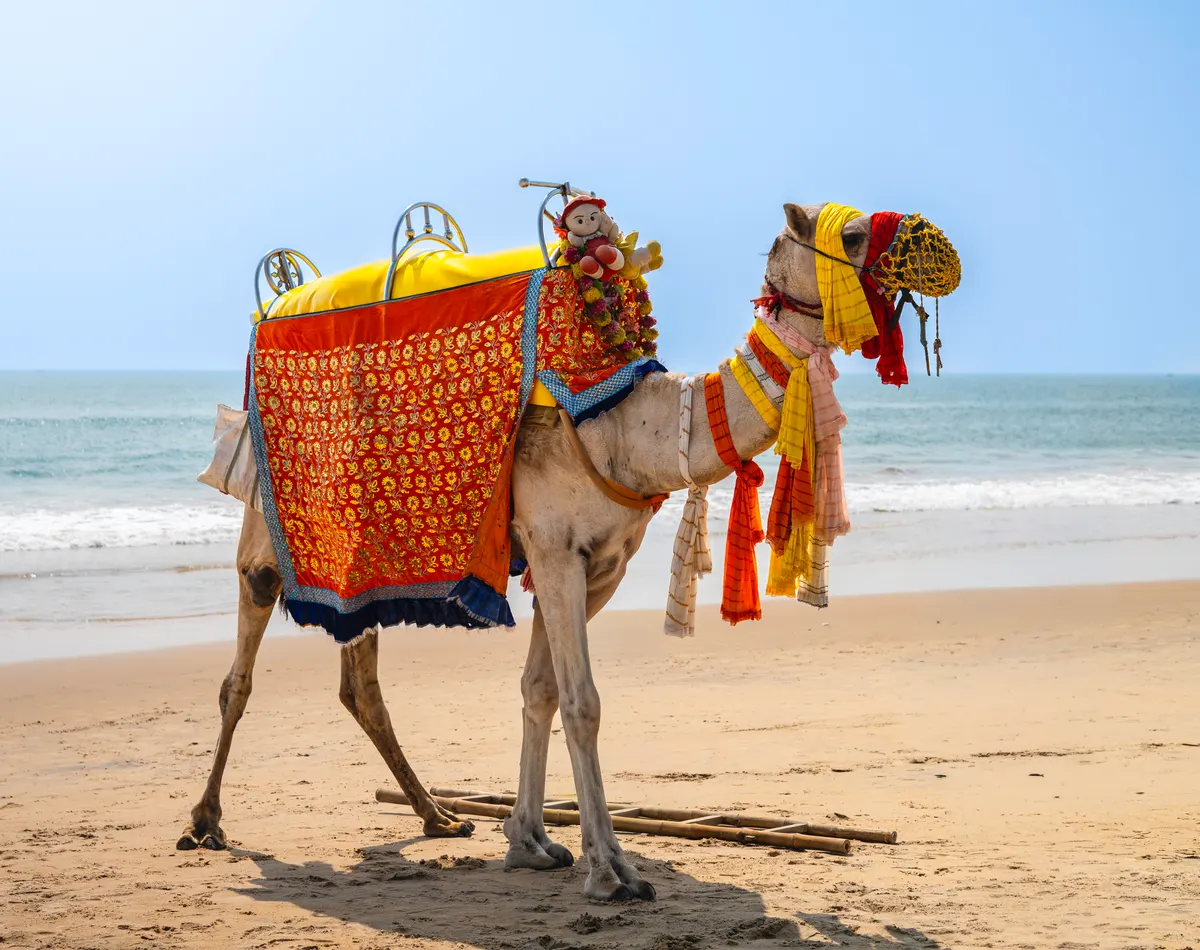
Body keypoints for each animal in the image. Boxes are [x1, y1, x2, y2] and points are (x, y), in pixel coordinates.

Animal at [177, 201, 874, 902]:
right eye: (854, 235)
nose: (911, 256)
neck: (622, 422)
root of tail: (279, 295)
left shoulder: (596, 565)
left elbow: (541, 689)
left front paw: (530, 842)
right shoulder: (556, 549)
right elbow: (582, 701)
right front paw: (611, 870)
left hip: (364, 561)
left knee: (360, 682)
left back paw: (438, 817)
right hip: (268, 536)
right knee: (242, 665)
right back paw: (205, 822)